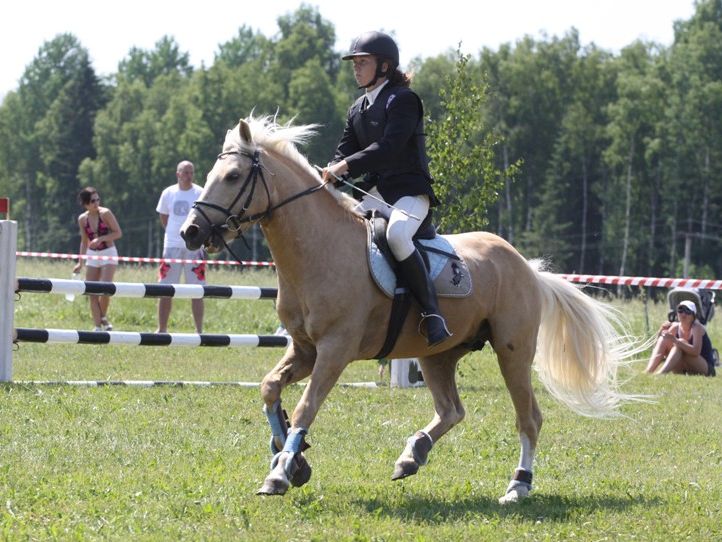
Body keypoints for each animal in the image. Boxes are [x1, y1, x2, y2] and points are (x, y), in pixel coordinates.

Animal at [180, 116, 640, 506]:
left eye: (233, 177)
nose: (191, 232)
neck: (317, 250)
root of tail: (526, 266)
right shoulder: (305, 349)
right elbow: (270, 389)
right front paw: (291, 458)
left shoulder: (335, 351)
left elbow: (306, 407)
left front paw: (280, 473)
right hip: (437, 355)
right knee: (452, 410)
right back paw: (412, 454)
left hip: (513, 352)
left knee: (529, 419)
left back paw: (517, 486)